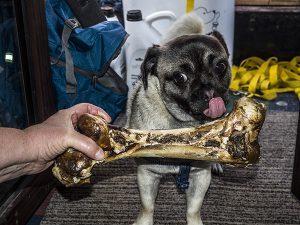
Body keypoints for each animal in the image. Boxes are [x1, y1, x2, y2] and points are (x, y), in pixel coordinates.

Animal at [125, 13, 231, 224]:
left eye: (220, 66)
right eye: (180, 77)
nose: (209, 90)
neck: (185, 124)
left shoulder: (201, 176)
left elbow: (193, 209)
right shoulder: (146, 175)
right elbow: (147, 207)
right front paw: (144, 221)